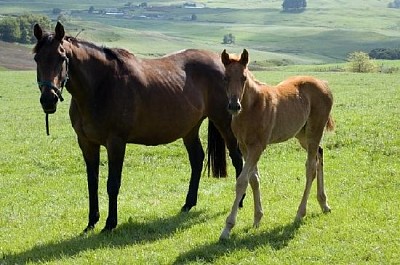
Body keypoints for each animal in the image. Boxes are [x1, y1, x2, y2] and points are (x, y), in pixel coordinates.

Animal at [32, 22, 242, 232]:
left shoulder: (116, 143)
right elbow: (92, 182)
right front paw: (91, 221)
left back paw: (239, 202)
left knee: (237, 158)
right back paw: (188, 203)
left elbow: (112, 184)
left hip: (224, 122)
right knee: (197, 159)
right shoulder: (86, 143)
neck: (101, 86)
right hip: (190, 129)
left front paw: (110, 223)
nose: (48, 99)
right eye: (36, 58)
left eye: (62, 58)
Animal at [219, 48, 334, 238]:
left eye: (244, 77)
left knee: (311, 167)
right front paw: (257, 218)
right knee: (320, 154)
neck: (251, 108)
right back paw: (324, 204)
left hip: (315, 131)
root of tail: (324, 84)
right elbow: (254, 179)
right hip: (302, 135)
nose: (234, 106)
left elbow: (242, 181)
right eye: (225, 77)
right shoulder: (244, 146)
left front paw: (227, 228)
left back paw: (300, 213)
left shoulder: (258, 147)